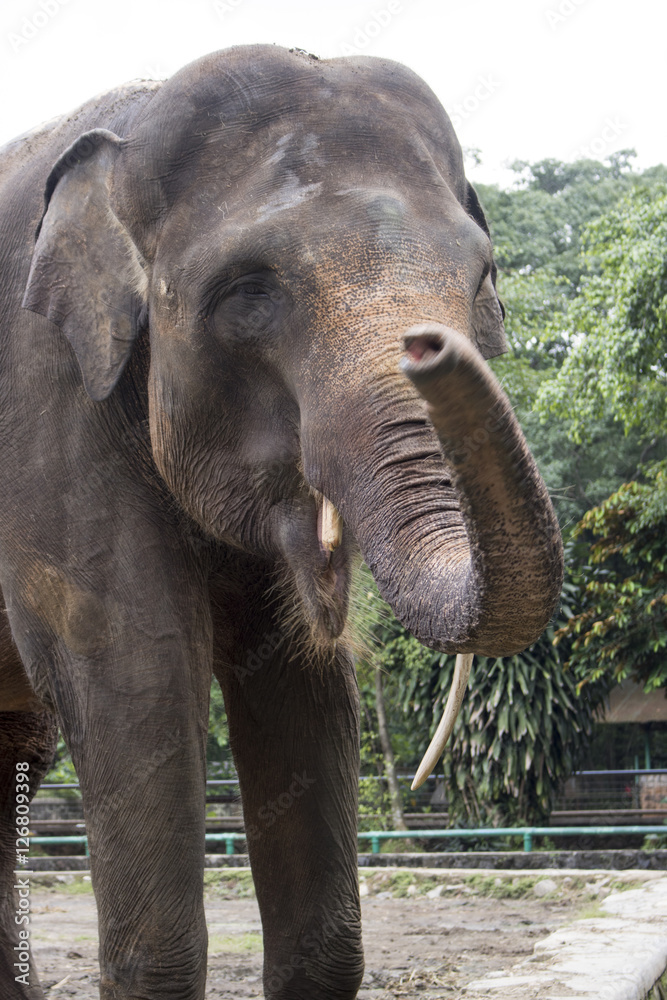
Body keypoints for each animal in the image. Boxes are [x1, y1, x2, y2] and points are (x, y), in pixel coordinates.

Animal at [0, 44, 563, 1000]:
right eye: (248, 293)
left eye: (481, 278)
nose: (428, 345)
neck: (125, 133)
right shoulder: (46, 402)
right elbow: (136, 666)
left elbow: (301, 685)